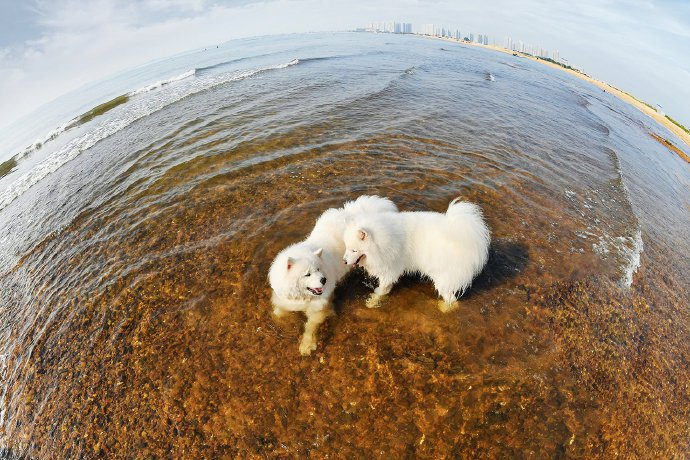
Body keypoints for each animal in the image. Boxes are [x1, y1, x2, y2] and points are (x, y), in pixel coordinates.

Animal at [268, 196, 398, 354]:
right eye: (307, 274)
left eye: (318, 269)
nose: (324, 280)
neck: (303, 297)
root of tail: (352, 213)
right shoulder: (285, 298)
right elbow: (278, 310)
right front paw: (278, 317)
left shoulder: (319, 309)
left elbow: (310, 326)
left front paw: (307, 345)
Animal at [342, 198, 486, 312]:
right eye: (347, 248)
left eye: (354, 250)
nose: (344, 261)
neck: (382, 242)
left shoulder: (390, 270)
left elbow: (381, 291)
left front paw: (371, 302)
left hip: (443, 275)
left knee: (452, 299)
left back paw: (443, 308)